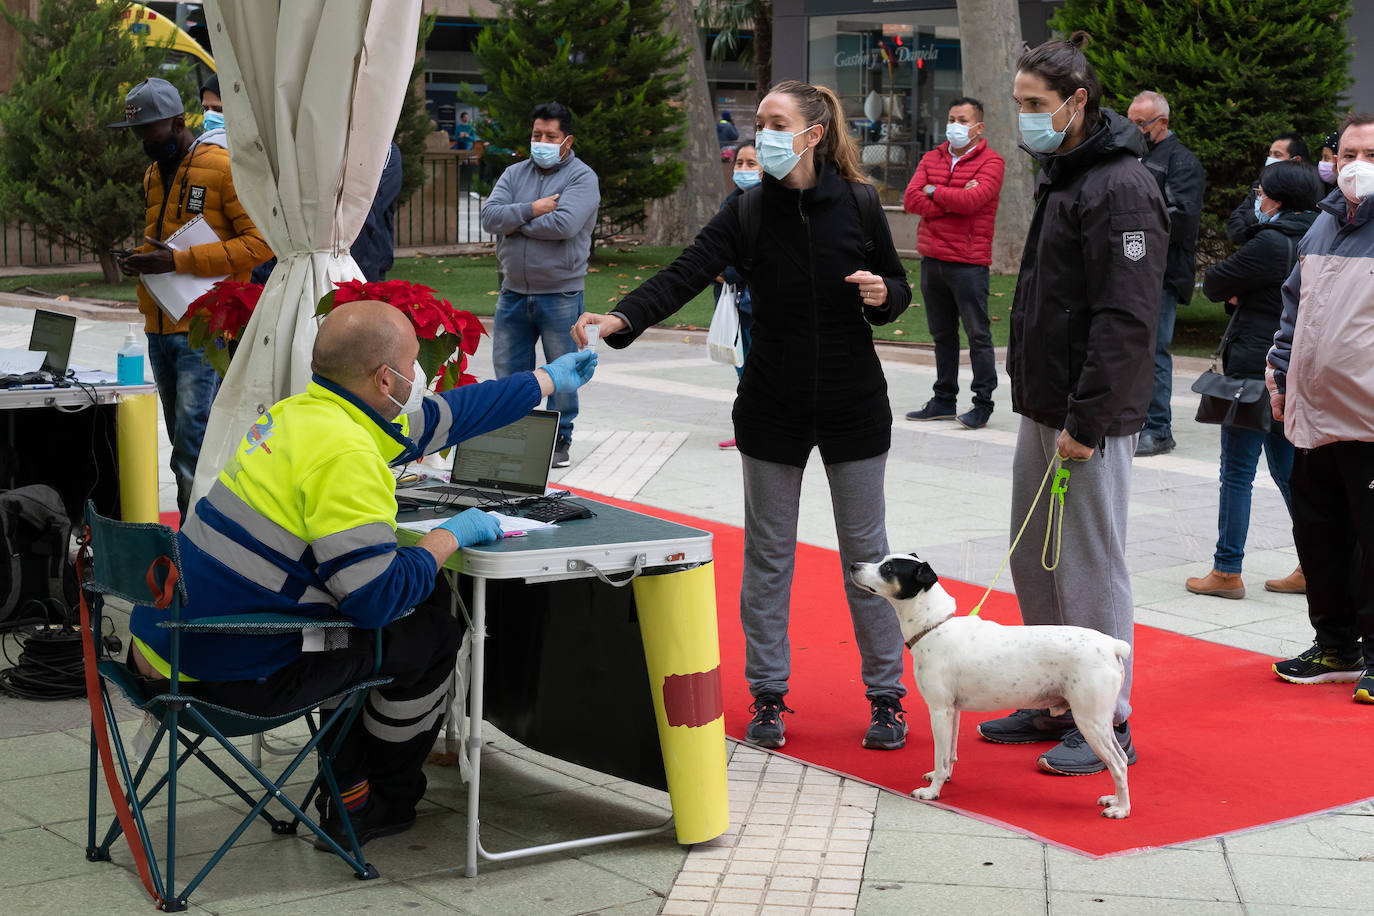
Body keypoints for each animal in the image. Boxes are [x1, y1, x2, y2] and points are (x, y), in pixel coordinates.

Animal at [851, 552, 1132, 818]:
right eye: (883, 561)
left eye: (888, 569)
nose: (853, 565)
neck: (935, 626)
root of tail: (1112, 646)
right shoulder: (953, 711)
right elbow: (949, 754)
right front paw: (943, 777)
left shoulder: (939, 711)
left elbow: (940, 755)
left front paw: (932, 792)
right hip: (1099, 722)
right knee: (1122, 757)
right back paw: (1114, 800)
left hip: (1090, 721)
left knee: (1118, 765)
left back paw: (1121, 809)